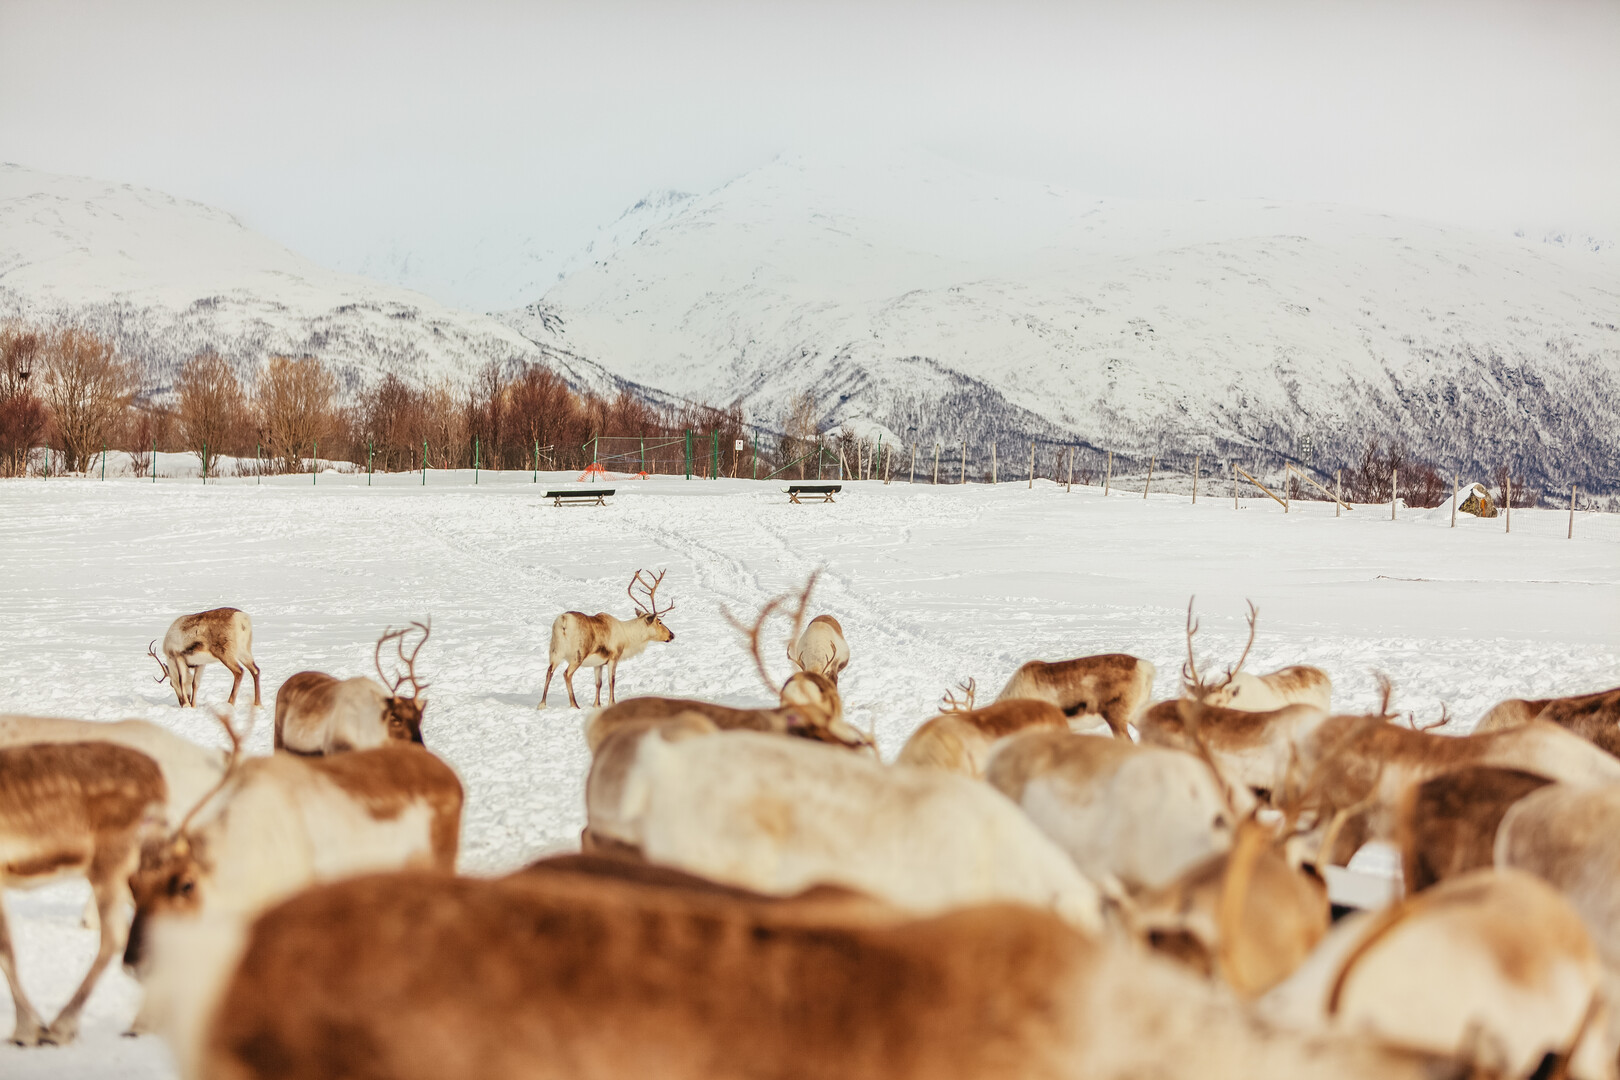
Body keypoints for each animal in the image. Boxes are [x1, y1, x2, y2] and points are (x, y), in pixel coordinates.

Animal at [0, 741, 167, 1045]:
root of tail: (160, 779)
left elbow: (5, 949)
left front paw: (26, 1030)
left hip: (112, 861)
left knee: (115, 935)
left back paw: (61, 1026)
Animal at [539, 569, 675, 709]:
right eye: (659, 622)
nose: (672, 635)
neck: (628, 638)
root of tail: (563, 621)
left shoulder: (598, 663)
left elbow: (598, 683)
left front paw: (597, 705)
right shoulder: (614, 657)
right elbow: (612, 681)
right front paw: (612, 703)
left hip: (555, 650)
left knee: (549, 671)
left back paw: (542, 704)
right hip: (578, 654)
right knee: (567, 674)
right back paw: (574, 705)